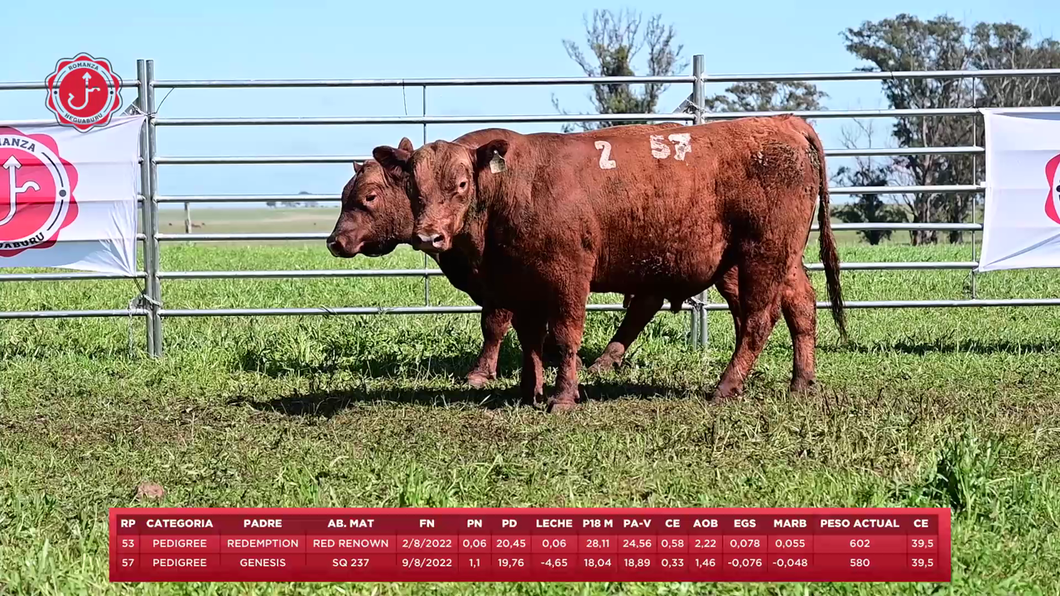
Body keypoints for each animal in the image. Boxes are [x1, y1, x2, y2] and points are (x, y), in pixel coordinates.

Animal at [377, 115, 847, 413]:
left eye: (460, 184)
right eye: (414, 188)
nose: (428, 236)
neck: (515, 187)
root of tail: (782, 122)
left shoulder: (568, 277)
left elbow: (563, 337)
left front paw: (563, 397)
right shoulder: (523, 284)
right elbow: (530, 339)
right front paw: (529, 390)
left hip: (761, 254)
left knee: (757, 319)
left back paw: (726, 386)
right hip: (785, 258)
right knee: (802, 306)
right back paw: (802, 382)